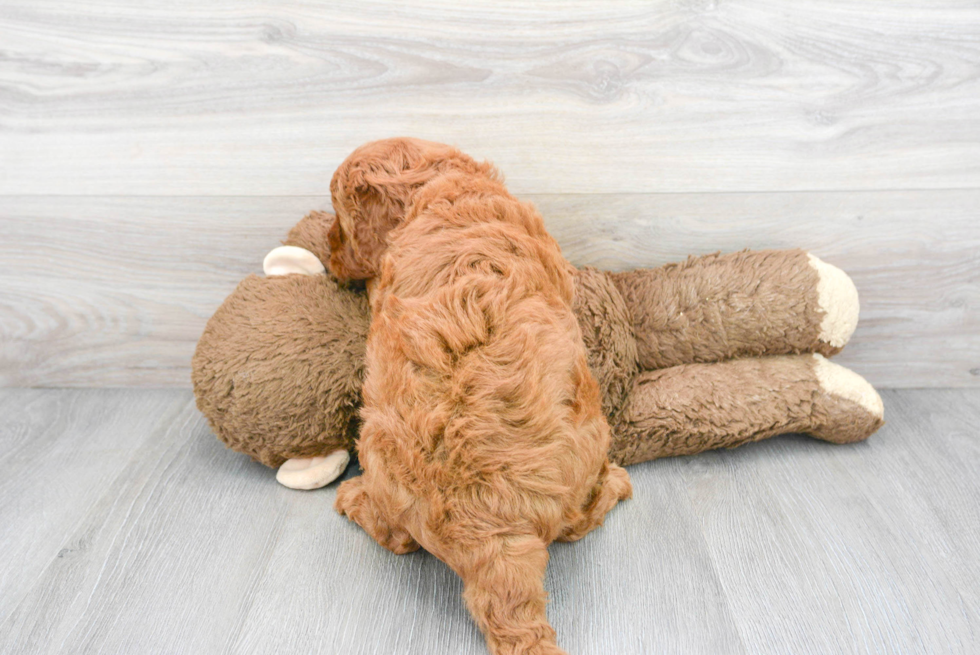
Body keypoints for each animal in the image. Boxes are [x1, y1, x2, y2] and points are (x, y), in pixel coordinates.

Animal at [332, 138, 636, 655]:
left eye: (339, 220)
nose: (326, 251)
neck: (438, 185)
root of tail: (492, 539)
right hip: (591, 434)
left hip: (378, 446)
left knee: (400, 537)